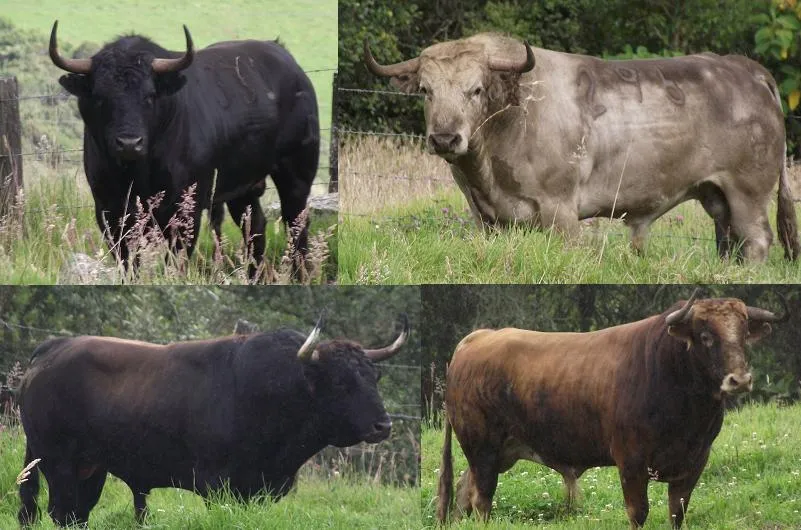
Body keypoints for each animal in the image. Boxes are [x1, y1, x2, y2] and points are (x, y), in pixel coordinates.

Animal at [16, 314, 410, 524]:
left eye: (374, 377)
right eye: (342, 383)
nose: (383, 425)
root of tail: (53, 347)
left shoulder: (262, 489)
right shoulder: (218, 484)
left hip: (91, 468)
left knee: (77, 514)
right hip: (58, 464)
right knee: (61, 512)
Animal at [48, 21, 318, 276]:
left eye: (150, 95)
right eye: (100, 97)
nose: (129, 143)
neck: (138, 172)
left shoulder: (185, 211)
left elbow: (176, 260)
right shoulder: (109, 210)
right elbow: (127, 262)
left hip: (297, 173)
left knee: (296, 225)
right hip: (242, 188)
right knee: (255, 227)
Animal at [434, 290, 784, 524]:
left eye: (743, 333)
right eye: (705, 335)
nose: (739, 379)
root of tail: (476, 338)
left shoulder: (694, 462)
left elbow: (677, 513)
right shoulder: (631, 461)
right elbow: (638, 513)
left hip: (498, 453)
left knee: (464, 493)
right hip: (482, 448)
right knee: (481, 500)